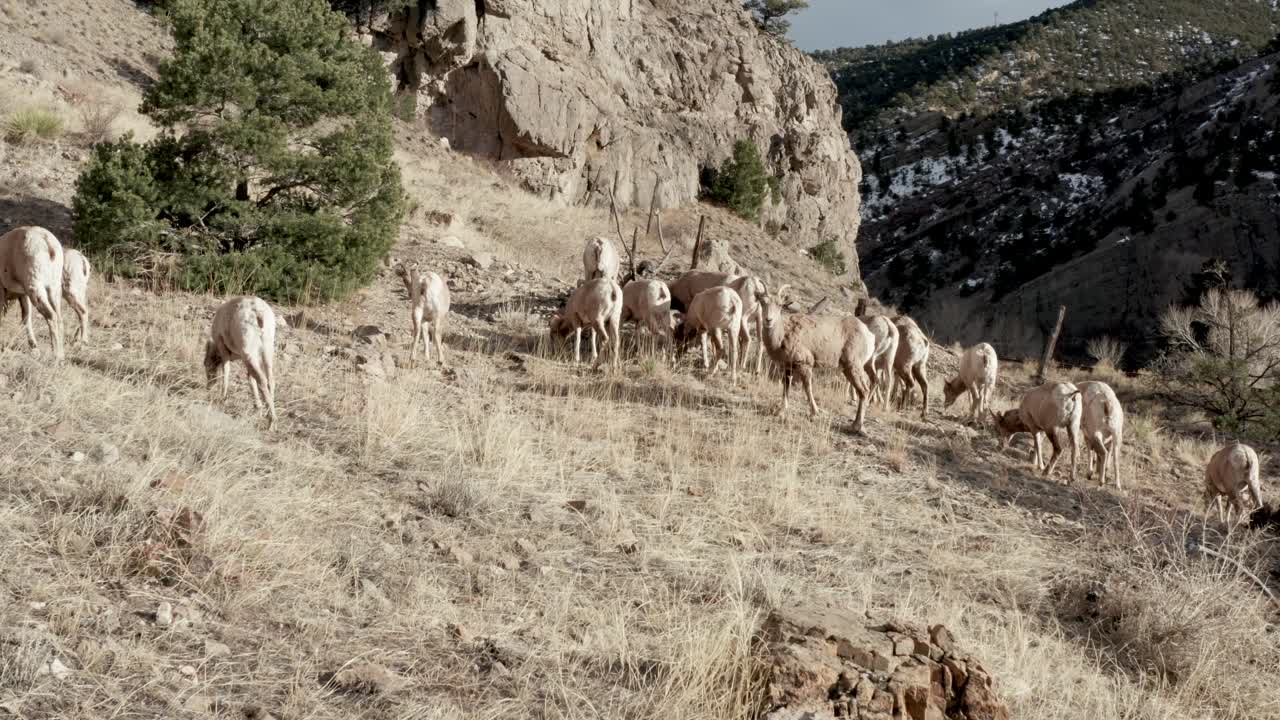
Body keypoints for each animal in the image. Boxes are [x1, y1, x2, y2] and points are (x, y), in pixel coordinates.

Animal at [0, 226, 64, 360]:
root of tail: (47, 241)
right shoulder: (23, 296)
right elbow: (26, 318)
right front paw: (34, 347)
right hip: (54, 288)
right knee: (59, 318)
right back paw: (62, 355)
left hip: (35, 287)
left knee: (51, 316)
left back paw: (56, 356)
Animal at [204, 296, 278, 429]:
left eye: (207, 365)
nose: (208, 387)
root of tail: (257, 312)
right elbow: (250, 379)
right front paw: (258, 409)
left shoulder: (223, 348)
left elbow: (226, 371)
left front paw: (223, 398)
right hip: (267, 350)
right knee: (270, 380)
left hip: (249, 352)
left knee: (262, 380)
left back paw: (271, 422)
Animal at [755, 285, 875, 432]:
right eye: (762, 302)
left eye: (780, 305)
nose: (768, 320)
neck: (782, 335)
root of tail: (869, 335)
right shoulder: (787, 366)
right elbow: (786, 387)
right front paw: (781, 411)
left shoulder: (805, 364)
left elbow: (808, 388)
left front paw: (814, 413)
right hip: (849, 369)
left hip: (853, 366)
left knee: (864, 391)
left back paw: (856, 426)